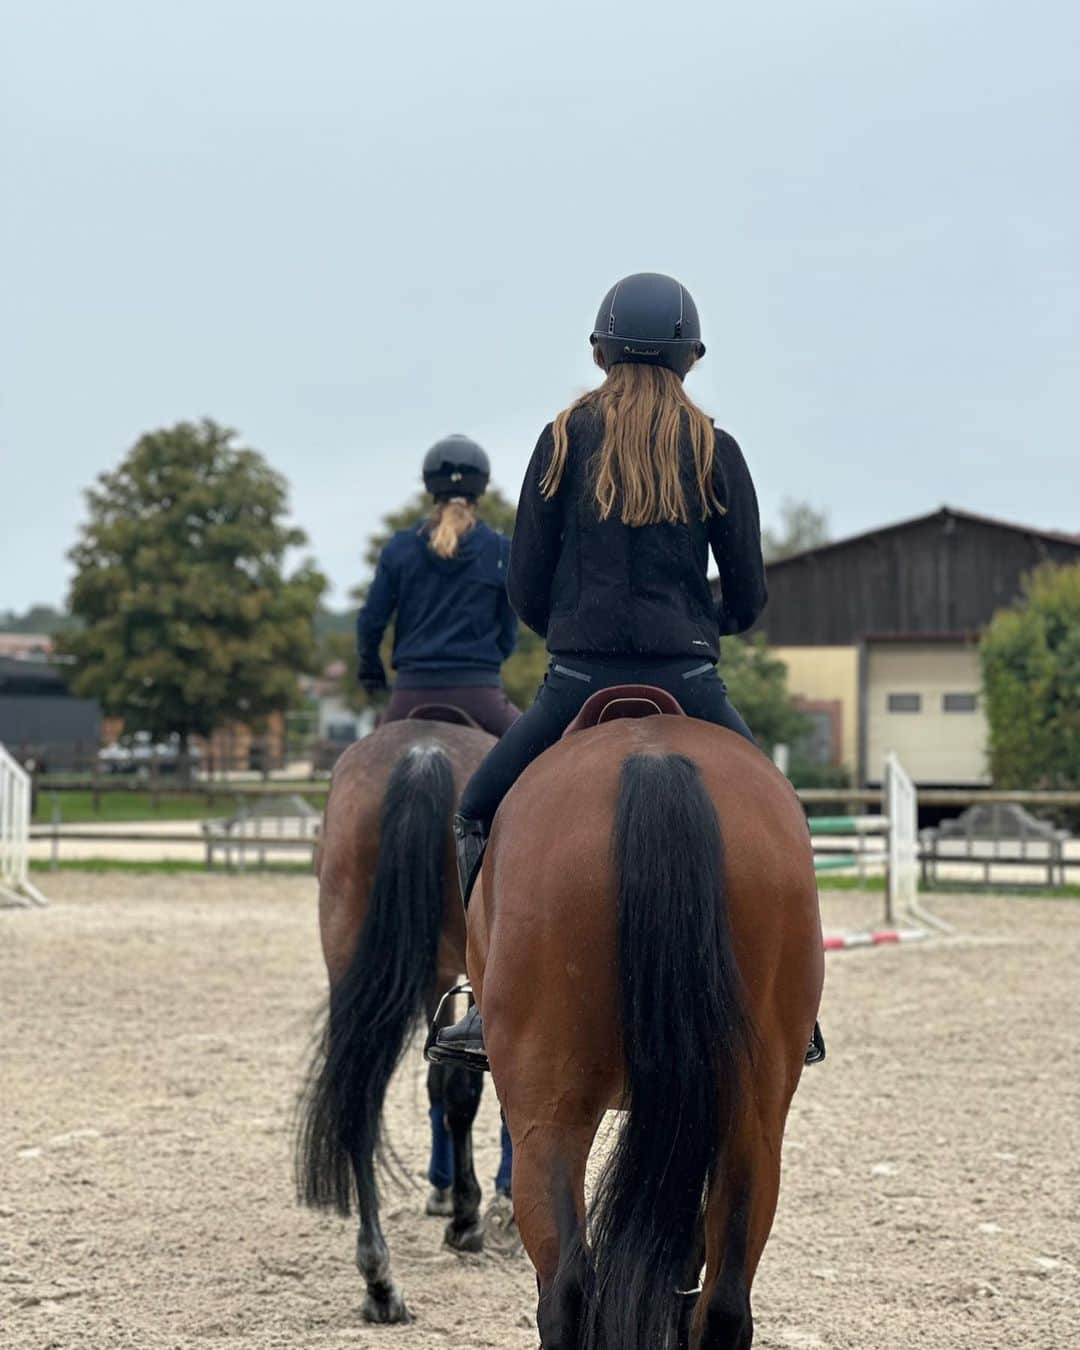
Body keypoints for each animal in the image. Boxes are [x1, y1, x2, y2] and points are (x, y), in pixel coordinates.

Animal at [295, 712, 515, 1323]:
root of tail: (422, 755)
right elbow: (464, 1092)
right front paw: (470, 1211)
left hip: (349, 956)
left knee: (358, 1097)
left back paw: (379, 1278)